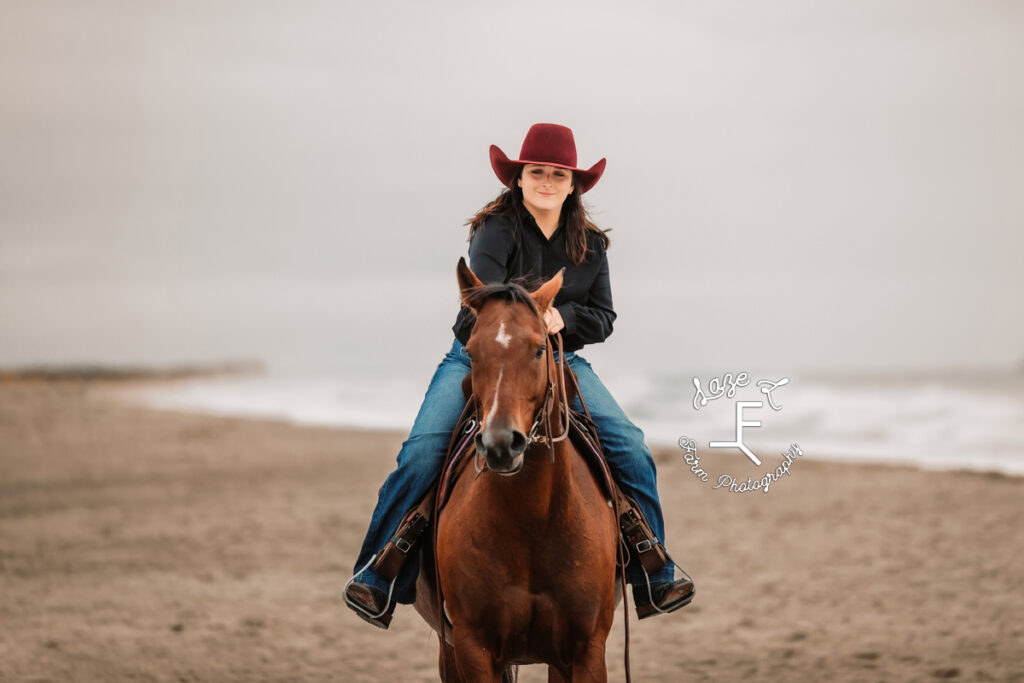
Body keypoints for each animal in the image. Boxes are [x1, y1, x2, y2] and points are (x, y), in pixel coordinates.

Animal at [413, 259, 614, 679]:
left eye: (539, 350)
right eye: (472, 352)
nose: (501, 444)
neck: (532, 519)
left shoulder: (587, 650)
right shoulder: (472, 648)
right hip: (448, 648)